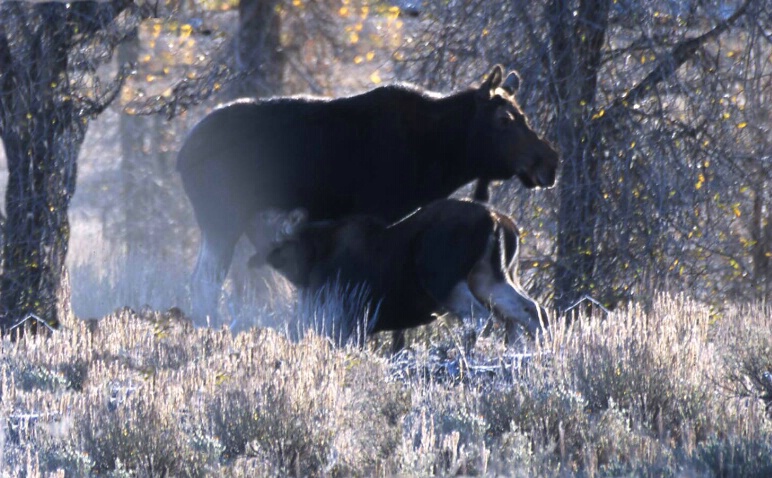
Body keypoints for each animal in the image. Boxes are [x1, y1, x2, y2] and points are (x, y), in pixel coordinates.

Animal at [178, 65, 556, 324]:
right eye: (505, 119)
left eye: (522, 115)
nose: (549, 161)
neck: (443, 156)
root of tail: (181, 156)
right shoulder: (381, 213)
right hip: (222, 220)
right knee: (205, 282)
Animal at [266, 198, 548, 352]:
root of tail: (498, 221)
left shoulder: (346, 319)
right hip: (491, 277)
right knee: (531, 309)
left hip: (442, 278)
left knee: (479, 316)